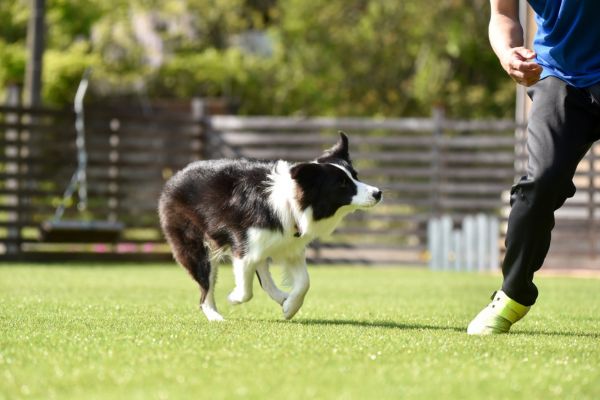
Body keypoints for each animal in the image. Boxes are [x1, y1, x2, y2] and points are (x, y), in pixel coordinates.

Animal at [159, 133, 382, 320]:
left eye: (355, 175)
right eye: (342, 183)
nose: (378, 193)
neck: (291, 202)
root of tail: (174, 177)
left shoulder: (290, 246)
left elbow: (304, 282)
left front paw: (290, 307)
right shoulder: (243, 246)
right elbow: (246, 289)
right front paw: (234, 298)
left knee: (263, 275)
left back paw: (281, 297)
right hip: (197, 247)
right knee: (205, 288)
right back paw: (214, 316)